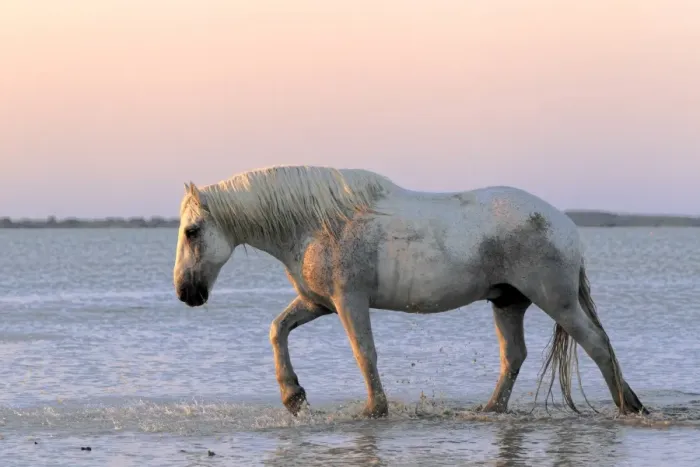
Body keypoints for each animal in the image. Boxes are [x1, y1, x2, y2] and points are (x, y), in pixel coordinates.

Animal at [172, 165, 648, 418]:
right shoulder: (318, 303)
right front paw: (294, 397)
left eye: (192, 231)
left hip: (557, 301)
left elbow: (364, 353)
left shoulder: (348, 302)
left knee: (597, 344)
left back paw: (628, 406)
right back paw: (491, 410)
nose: (184, 292)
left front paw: (374, 410)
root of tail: (565, 226)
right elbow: (278, 329)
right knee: (514, 356)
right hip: (508, 302)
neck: (316, 224)